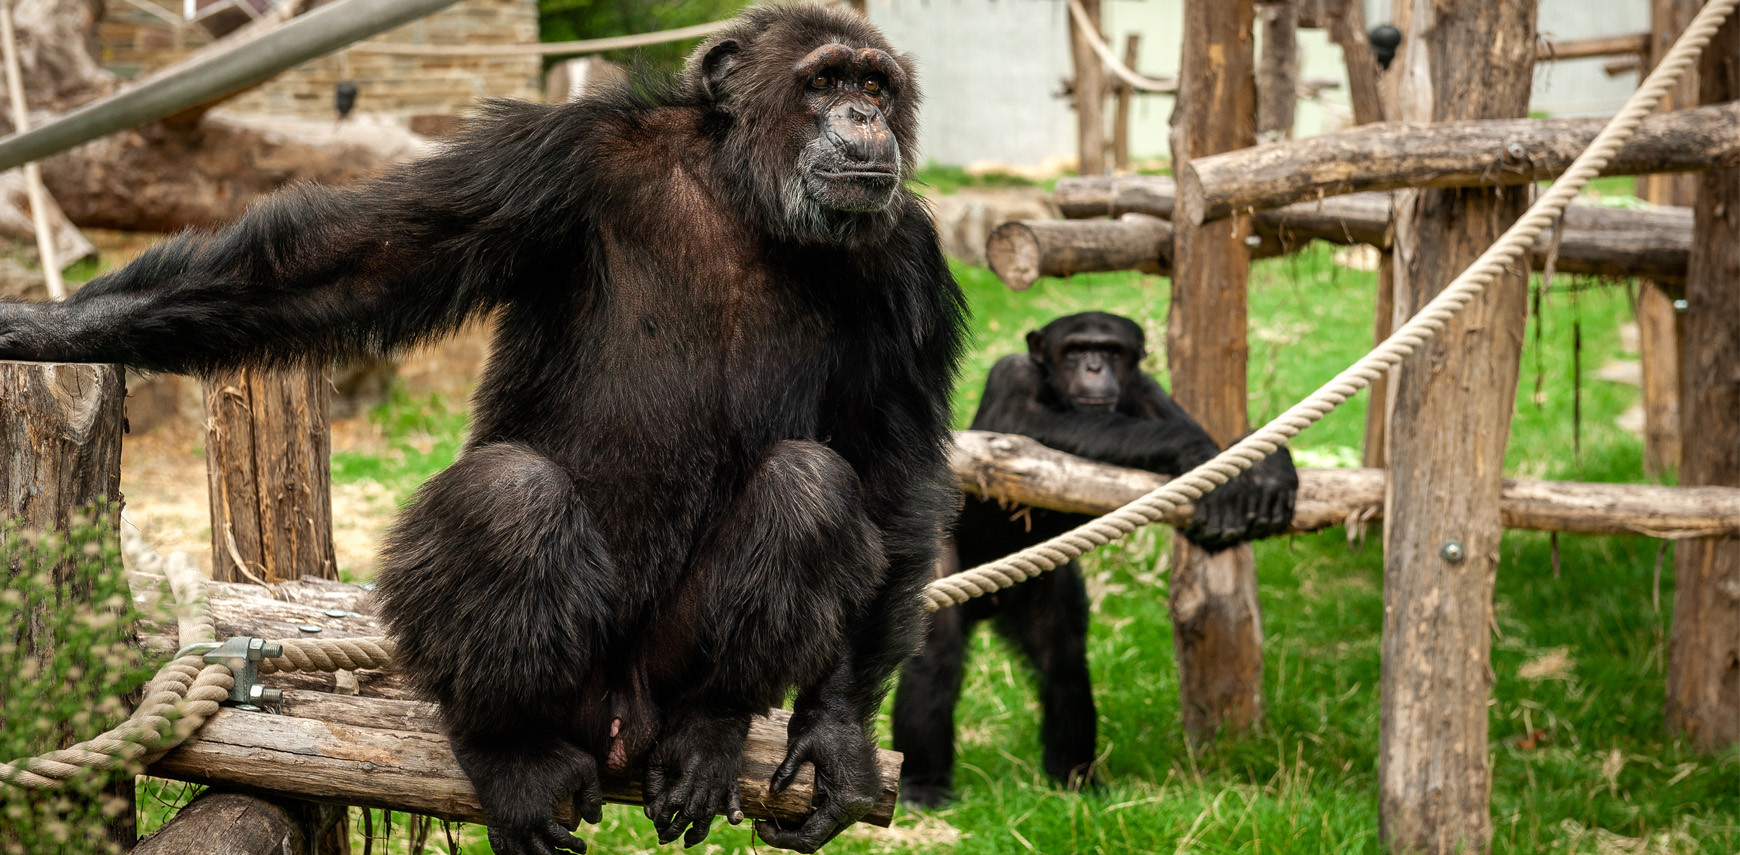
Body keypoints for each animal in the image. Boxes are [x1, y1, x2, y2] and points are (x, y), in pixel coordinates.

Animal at [0, 6, 967, 855]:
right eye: (824, 79)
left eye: (876, 84)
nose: (862, 116)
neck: (740, 195)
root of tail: (620, 721)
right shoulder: (558, 160)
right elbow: (347, 267)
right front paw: (51, 327)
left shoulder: (906, 260)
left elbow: (893, 474)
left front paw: (837, 736)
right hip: (512, 657)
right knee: (510, 497)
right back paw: (508, 754)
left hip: (655, 674)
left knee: (811, 484)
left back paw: (709, 728)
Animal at [897, 311, 1294, 807]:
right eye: (1073, 350)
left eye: (1110, 350)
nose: (1092, 366)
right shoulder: (1012, 378)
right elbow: (1023, 427)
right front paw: (1196, 448)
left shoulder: (1148, 393)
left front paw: (1269, 472)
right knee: (933, 659)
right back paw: (922, 785)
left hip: (1042, 586)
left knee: (1064, 662)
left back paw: (1074, 776)